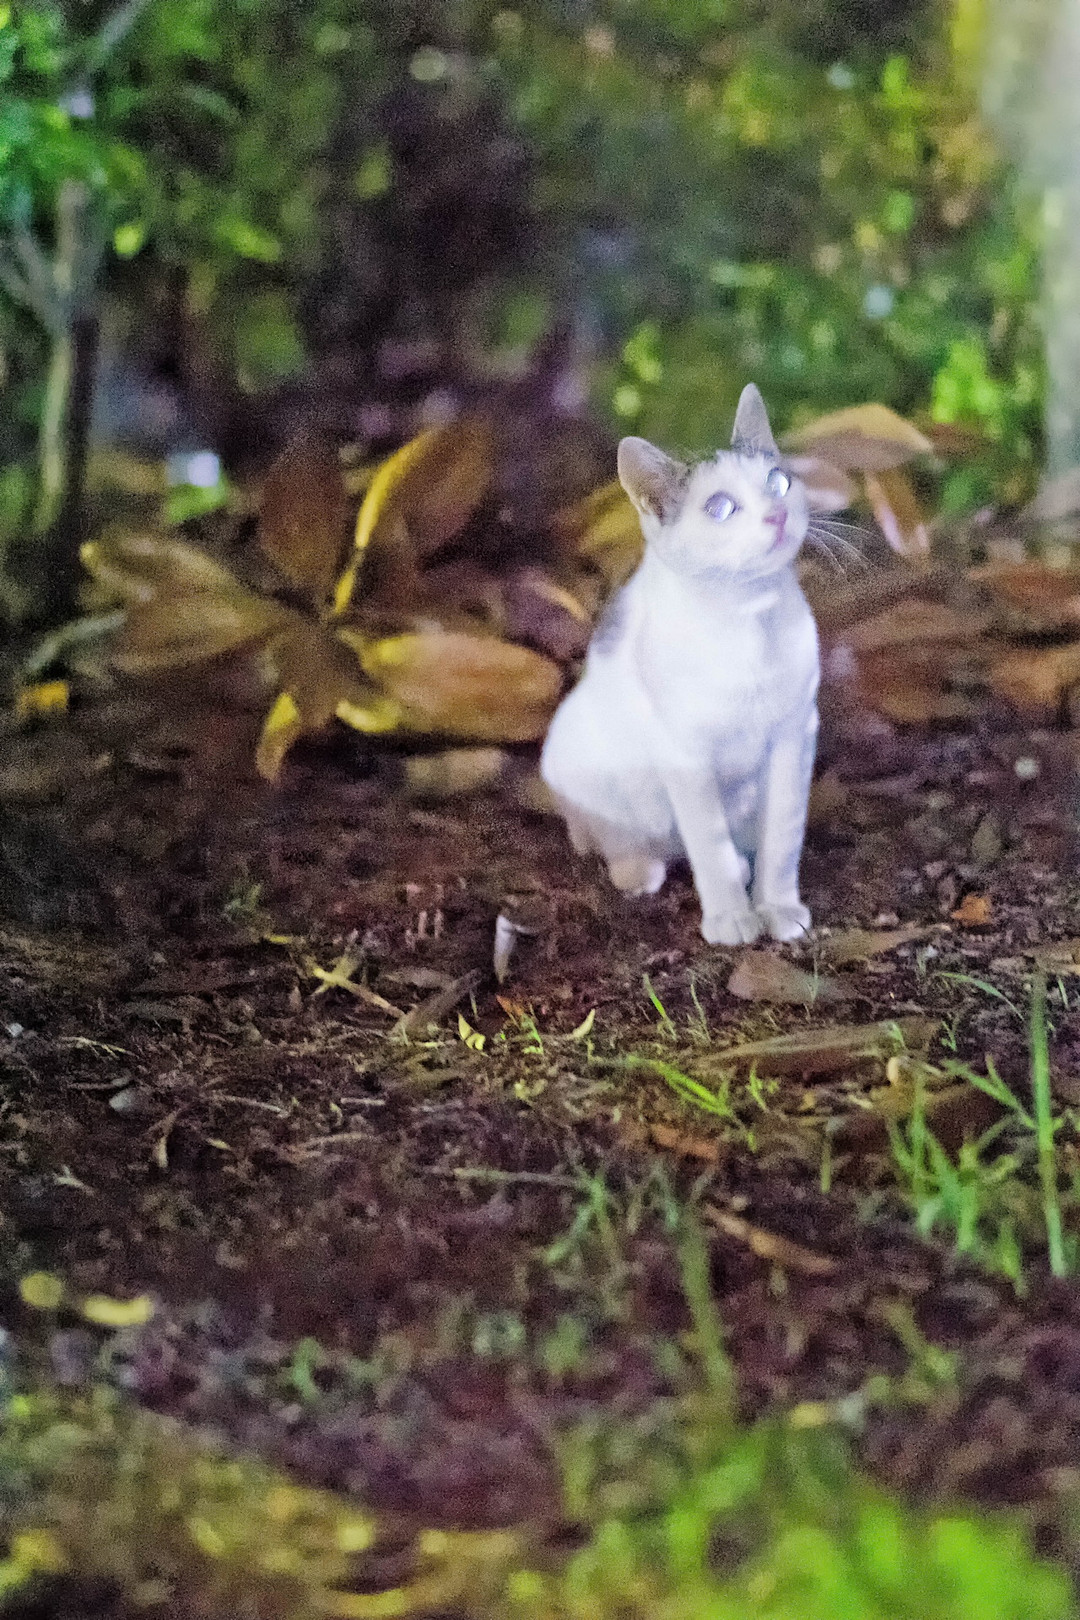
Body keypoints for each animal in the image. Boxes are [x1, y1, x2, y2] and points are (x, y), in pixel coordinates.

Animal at [540, 384, 819, 946]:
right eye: (720, 507)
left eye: (778, 481)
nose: (777, 515)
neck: (746, 619)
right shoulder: (684, 753)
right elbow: (708, 843)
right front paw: (731, 917)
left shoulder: (796, 732)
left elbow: (783, 835)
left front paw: (777, 905)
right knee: (617, 834)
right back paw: (636, 868)